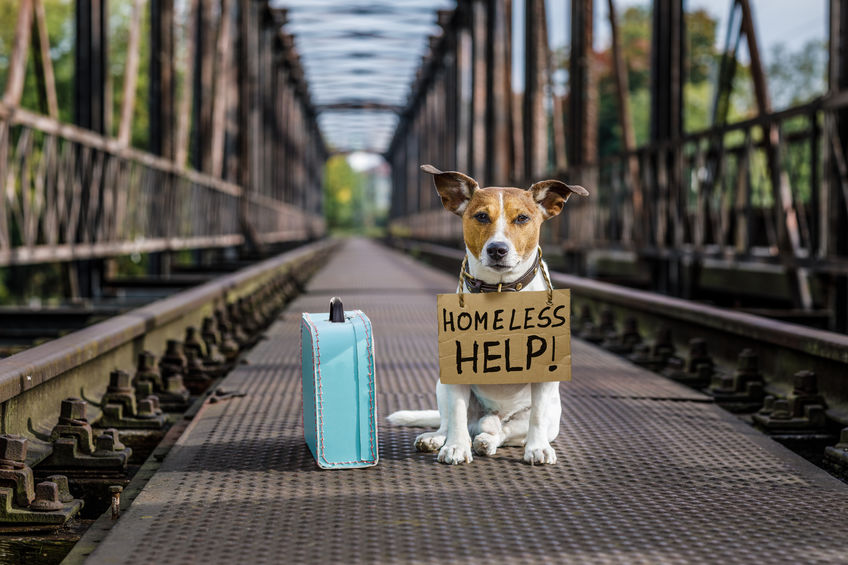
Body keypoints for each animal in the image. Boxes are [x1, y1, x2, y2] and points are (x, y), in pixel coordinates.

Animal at [388, 163, 588, 462]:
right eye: (482, 216)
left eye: (522, 218)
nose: (497, 249)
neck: (500, 294)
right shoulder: (457, 367)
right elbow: (457, 414)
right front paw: (456, 447)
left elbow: (536, 418)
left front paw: (537, 448)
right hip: (442, 385)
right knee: (450, 421)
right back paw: (437, 438)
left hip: (548, 415)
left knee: (505, 432)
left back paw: (487, 441)